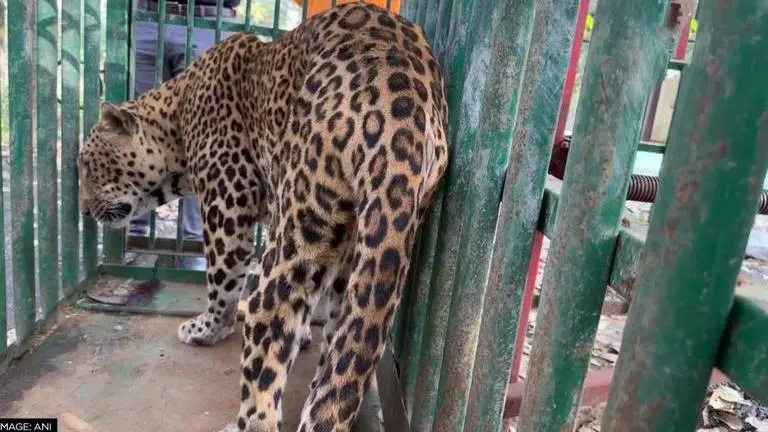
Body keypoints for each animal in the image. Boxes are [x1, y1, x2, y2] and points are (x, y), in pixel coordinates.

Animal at [78, 2, 449, 430]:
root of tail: (402, 104)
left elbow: (222, 282)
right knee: (341, 342)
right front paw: (303, 335)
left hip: (303, 220)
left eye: (88, 167)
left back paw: (245, 419)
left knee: (269, 325)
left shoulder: (226, 208)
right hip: (369, 239)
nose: (84, 210)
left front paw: (208, 328)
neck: (176, 119)